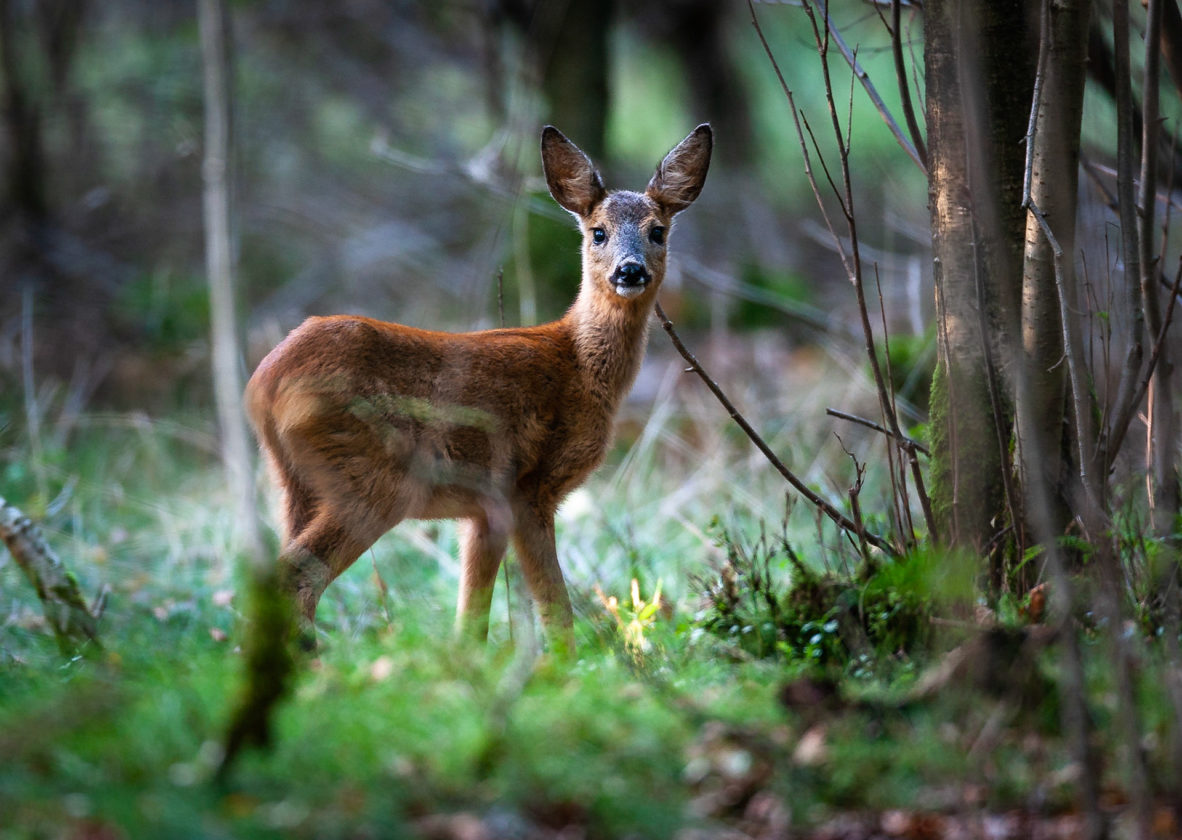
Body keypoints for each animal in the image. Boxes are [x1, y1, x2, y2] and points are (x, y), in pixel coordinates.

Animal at [242, 123, 709, 656]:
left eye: (658, 230)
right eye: (598, 232)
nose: (630, 271)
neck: (579, 364)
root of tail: (264, 383)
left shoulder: (485, 509)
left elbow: (470, 621)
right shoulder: (529, 488)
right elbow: (556, 608)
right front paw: (566, 668)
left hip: (295, 481)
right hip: (373, 477)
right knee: (295, 577)